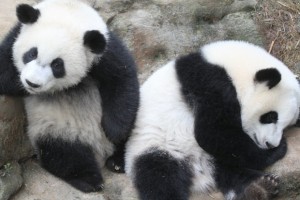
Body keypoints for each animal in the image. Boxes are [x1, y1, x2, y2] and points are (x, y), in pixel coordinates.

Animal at [0, 0, 139, 193]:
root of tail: (101, 150)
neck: (69, 11)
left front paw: (114, 131)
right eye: (31, 53)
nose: (32, 83)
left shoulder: (105, 51)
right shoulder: (14, 37)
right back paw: (89, 180)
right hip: (56, 131)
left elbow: (122, 80)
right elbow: (4, 73)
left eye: (57, 65)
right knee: (65, 155)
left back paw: (118, 161)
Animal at [125, 40, 300, 200]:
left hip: (208, 156)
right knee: (161, 179)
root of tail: (198, 170)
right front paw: (276, 151)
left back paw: (259, 186)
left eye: (286, 126)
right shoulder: (210, 83)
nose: (271, 144)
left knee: (229, 168)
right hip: (156, 146)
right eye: (270, 116)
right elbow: (211, 132)